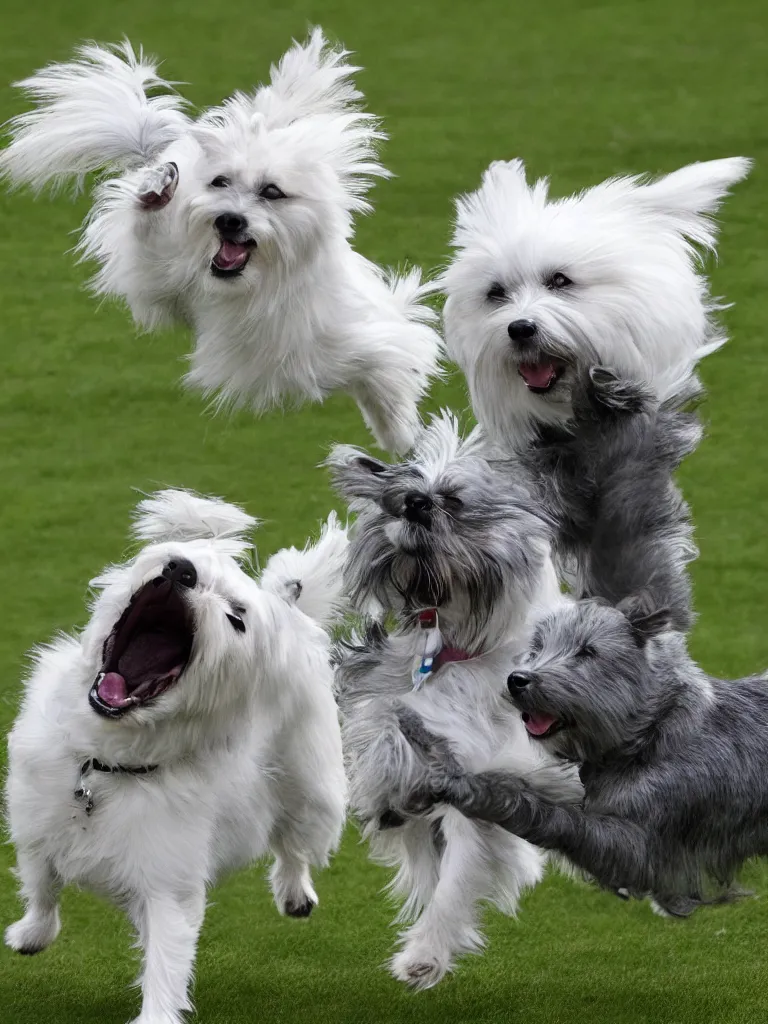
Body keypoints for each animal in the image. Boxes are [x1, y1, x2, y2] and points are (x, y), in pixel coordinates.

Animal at [0, 29, 442, 452]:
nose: (229, 220)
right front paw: (155, 195)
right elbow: (147, 243)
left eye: (272, 192)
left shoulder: (357, 336)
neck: (249, 288)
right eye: (220, 182)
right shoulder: (160, 278)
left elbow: (386, 373)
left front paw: (402, 437)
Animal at [3, 487, 348, 1024]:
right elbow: (42, 886)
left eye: (236, 617)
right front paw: (31, 934)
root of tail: (293, 613)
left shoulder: (168, 884)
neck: (106, 767)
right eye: (185, 560)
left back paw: (296, 894)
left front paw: (156, 1016)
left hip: (312, 793)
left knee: (293, 842)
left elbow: (166, 963)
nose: (180, 570)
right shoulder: (36, 826)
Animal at [327, 411, 581, 987]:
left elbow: (460, 876)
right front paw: (386, 789)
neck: (455, 645)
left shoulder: (494, 776)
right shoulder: (384, 693)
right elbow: (383, 724)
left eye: (455, 500)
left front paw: (425, 953)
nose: (415, 504)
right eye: (403, 496)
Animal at [397, 593, 768, 921]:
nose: (517, 679)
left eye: (588, 651)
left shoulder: (642, 849)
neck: (651, 733)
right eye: (537, 647)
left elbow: (553, 817)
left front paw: (469, 789)